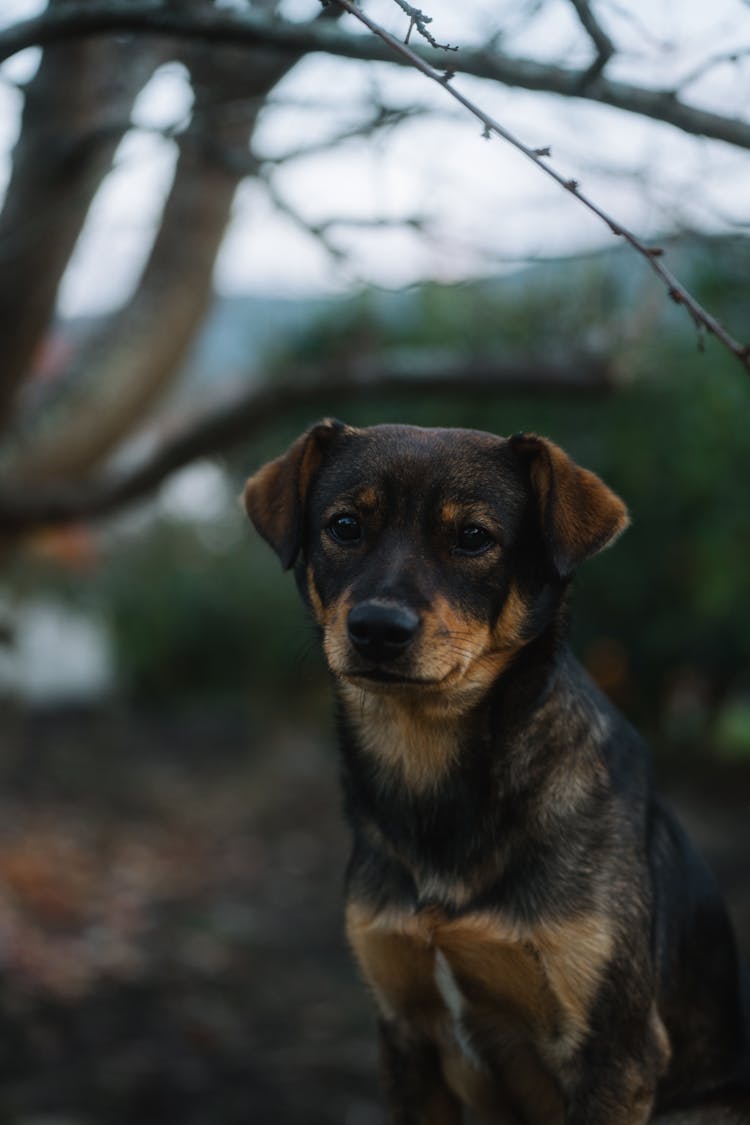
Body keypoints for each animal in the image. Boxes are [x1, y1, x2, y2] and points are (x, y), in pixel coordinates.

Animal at [245, 423, 750, 1125]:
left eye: (474, 538)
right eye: (344, 526)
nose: (377, 628)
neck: (435, 779)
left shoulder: (616, 1051)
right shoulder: (404, 1036)